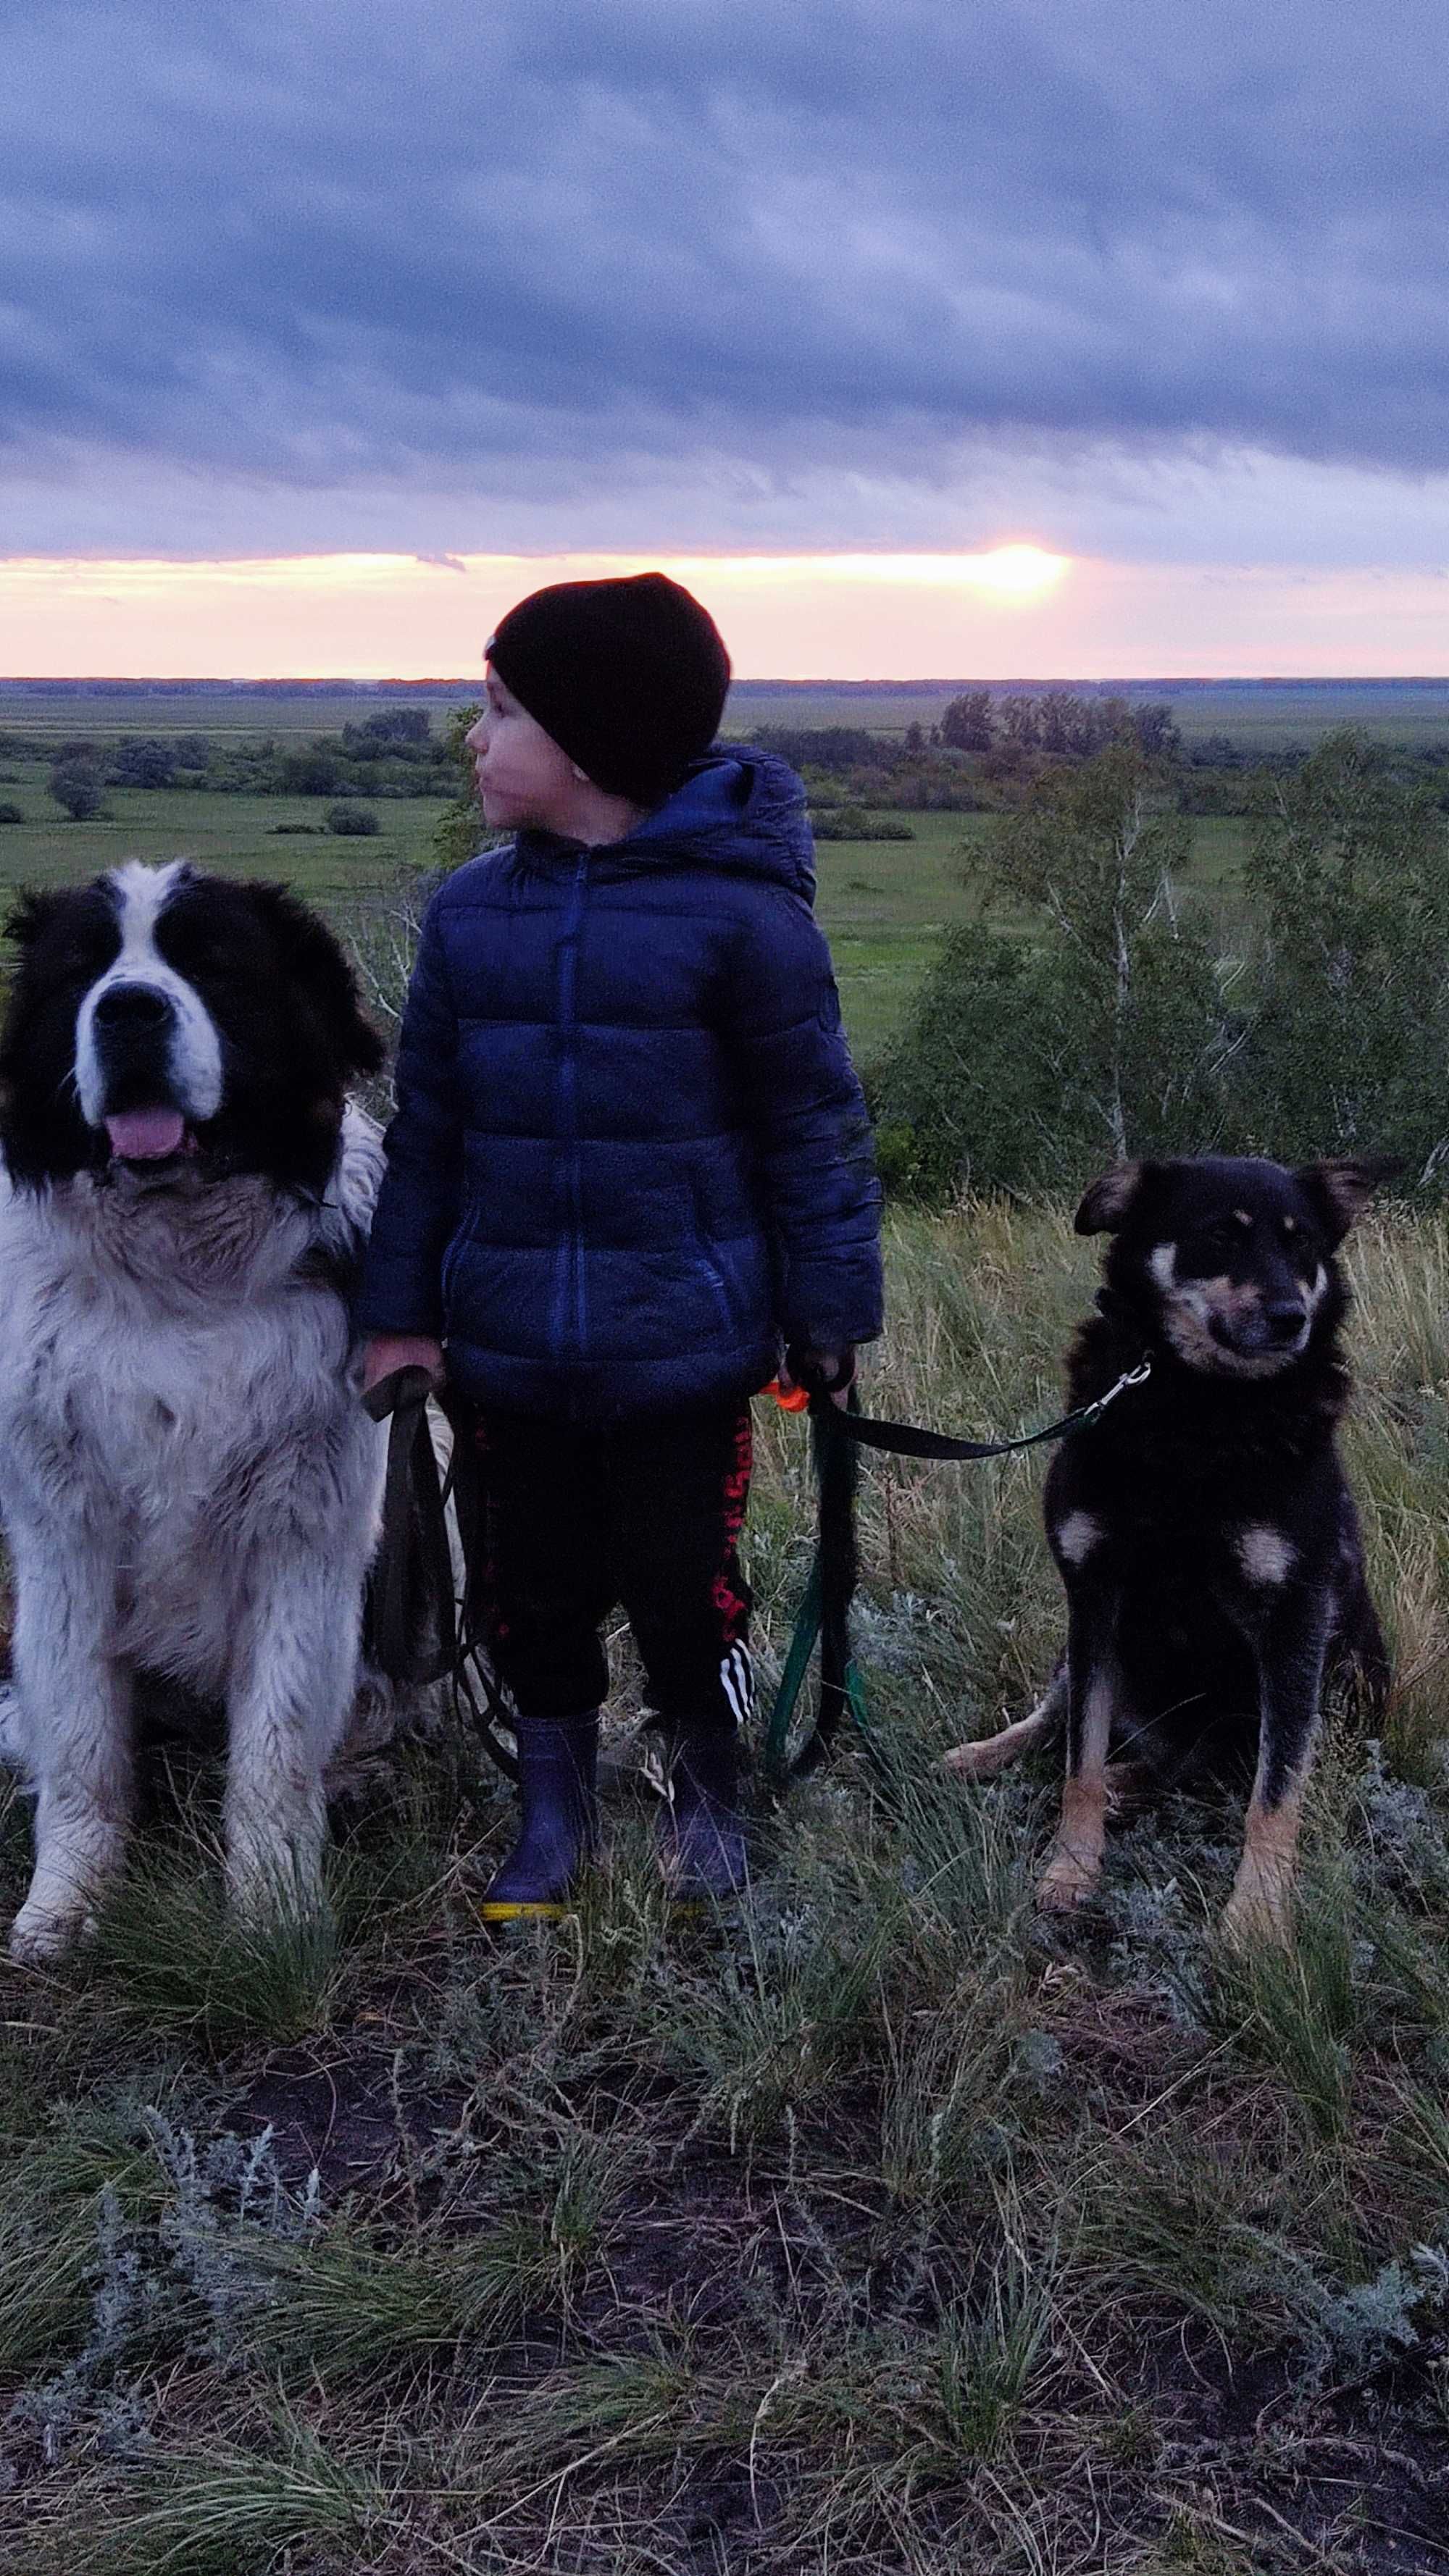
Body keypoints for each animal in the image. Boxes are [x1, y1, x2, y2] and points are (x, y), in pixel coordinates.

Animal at [0, 855, 394, 1957]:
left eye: (211, 964)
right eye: (82, 971)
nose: (128, 1010)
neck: (179, 1282)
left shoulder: (304, 1531)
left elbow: (276, 1743)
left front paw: (274, 1914)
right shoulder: (65, 1533)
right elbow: (82, 1740)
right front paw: (65, 1904)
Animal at [943, 1159, 1382, 1937]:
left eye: (1302, 1243)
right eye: (1219, 1235)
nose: (1290, 1319)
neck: (1196, 1406)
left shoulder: (1294, 1622)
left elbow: (1276, 1793)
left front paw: (1257, 1918)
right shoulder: (1093, 1595)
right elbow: (1079, 1761)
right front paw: (1072, 1869)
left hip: (1346, 1669)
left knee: (1204, 1770)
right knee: (1062, 1721)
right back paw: (989, 1755)